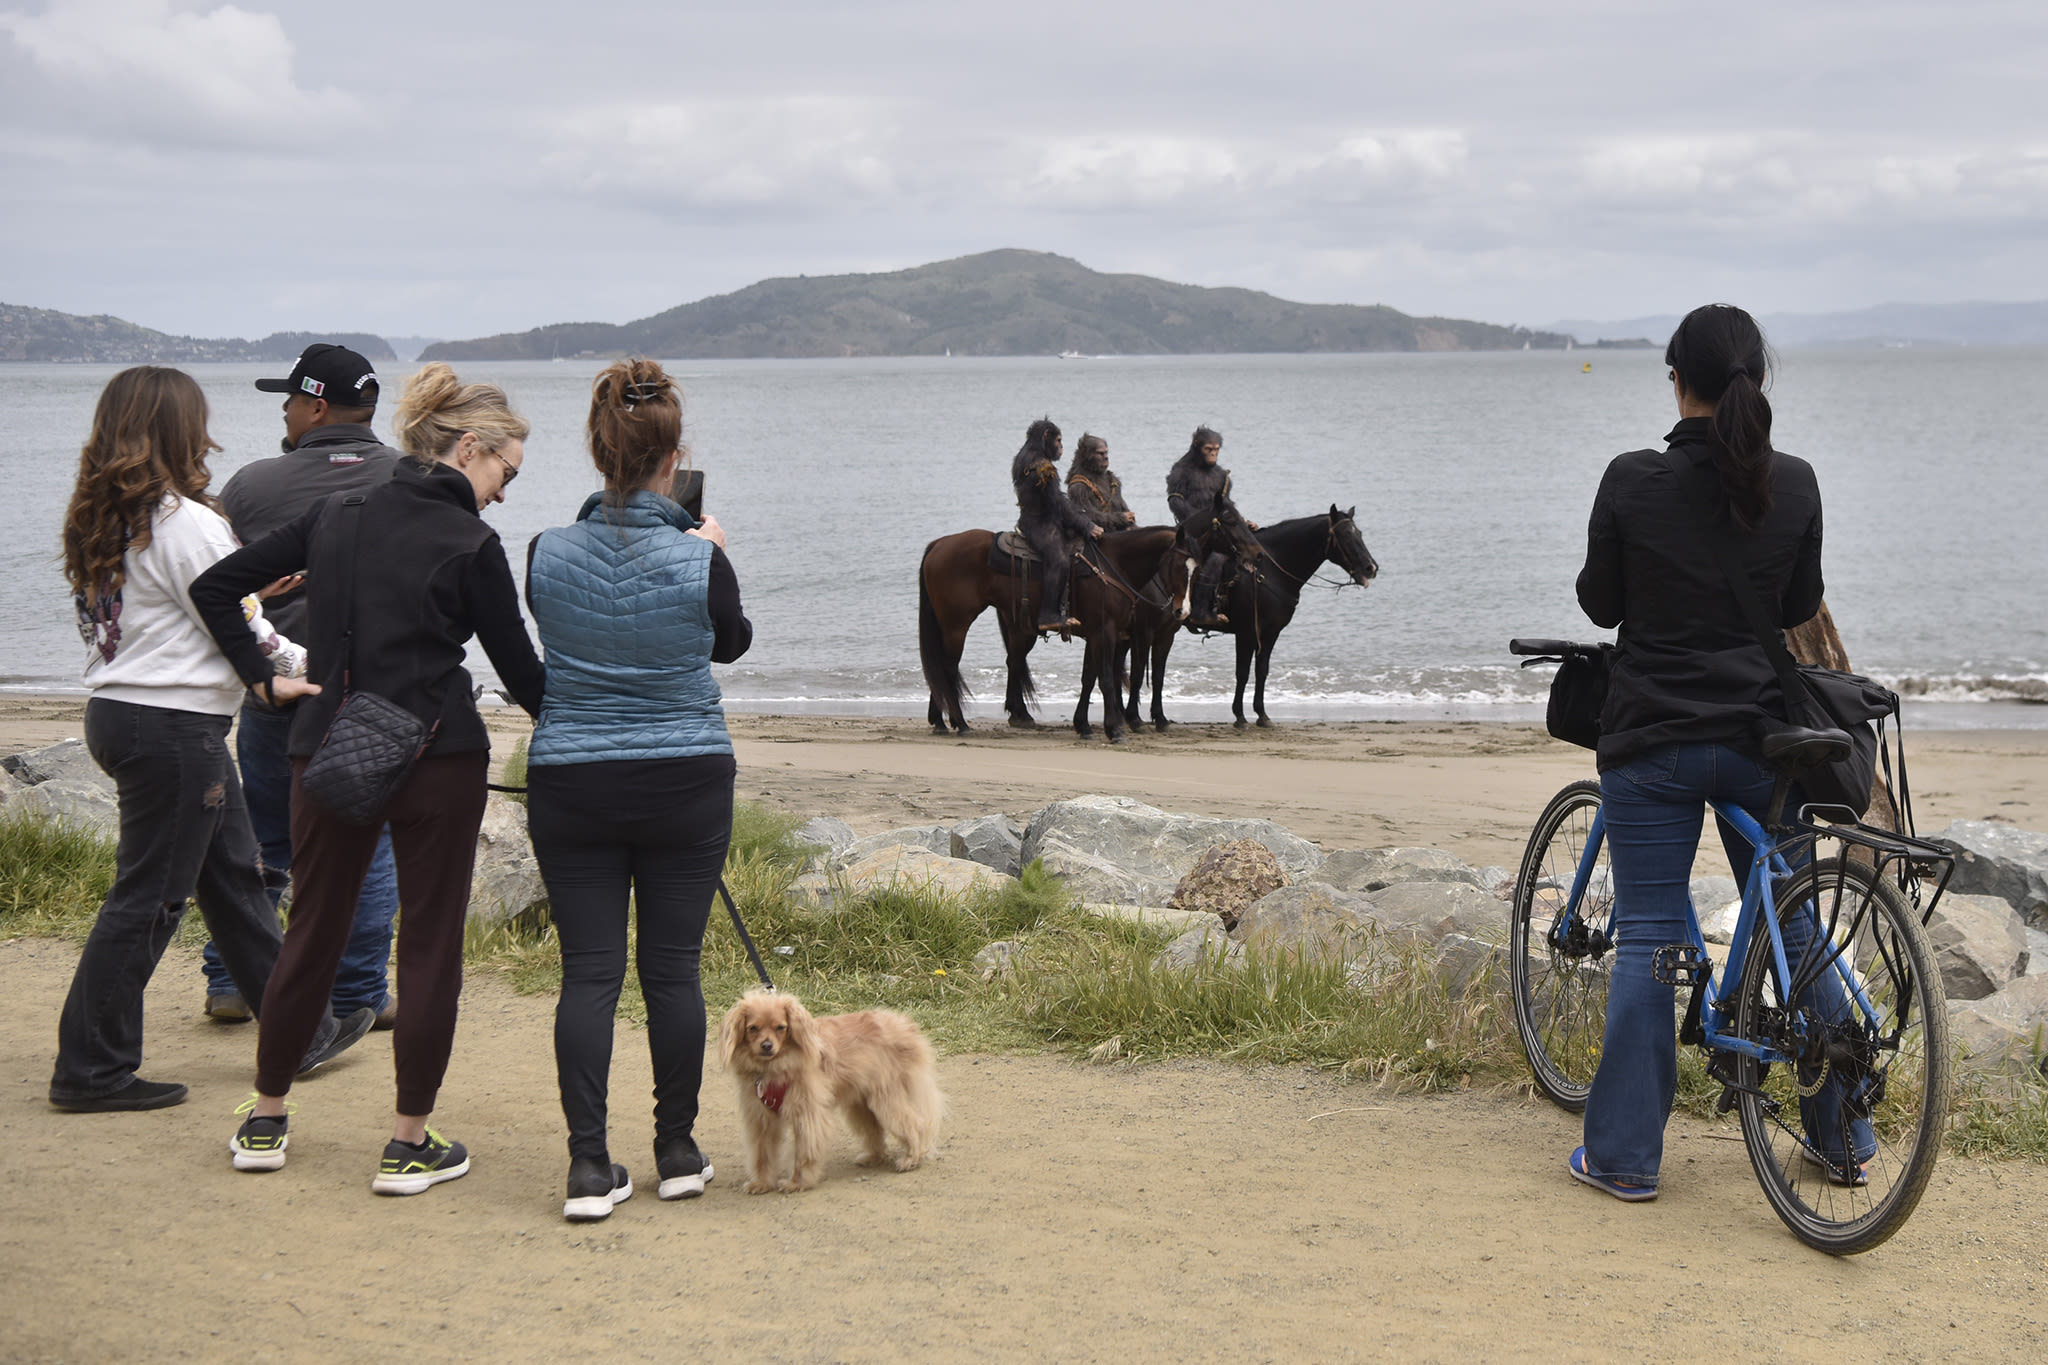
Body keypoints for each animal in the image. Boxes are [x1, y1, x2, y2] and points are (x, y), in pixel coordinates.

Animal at [720, 986, 942, 1186]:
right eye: (753, 1028)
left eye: (781, 1028)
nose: (766, 1046)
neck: (774, 1068)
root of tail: (905, 1026)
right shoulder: (761, 1120)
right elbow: (762, 1155)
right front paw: (762, 1184)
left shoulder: (807, 1116)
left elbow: (803, 1154)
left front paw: (797, 1183)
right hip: (861, 1104)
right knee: (875, 1130)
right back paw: (874, 1157)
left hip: (886, 1100)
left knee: (914, 1124)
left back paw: (911, 1158)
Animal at [925, 527, 1196, 749]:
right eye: (1181, 566)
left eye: (1197, 568)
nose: (1182, 611)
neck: (1114, 567)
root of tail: (939, 544)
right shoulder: (1111, 633)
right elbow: (1109, 679)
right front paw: (1116, 729)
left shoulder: (1098, 635)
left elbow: (1089, 678)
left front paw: (1083, 726)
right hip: (956, 625)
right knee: (948, 668)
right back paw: (961, 723)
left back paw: (941, 722)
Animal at [1130, 507, 1384, 732]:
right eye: (1345, 535)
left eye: (1359, 534)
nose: (1371, 568)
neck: (1269, 572)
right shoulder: (1247, 633)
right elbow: (1242, 673)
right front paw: (1240, 716)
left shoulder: (1270, 633)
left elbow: (1262, 671)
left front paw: (1262, 714)